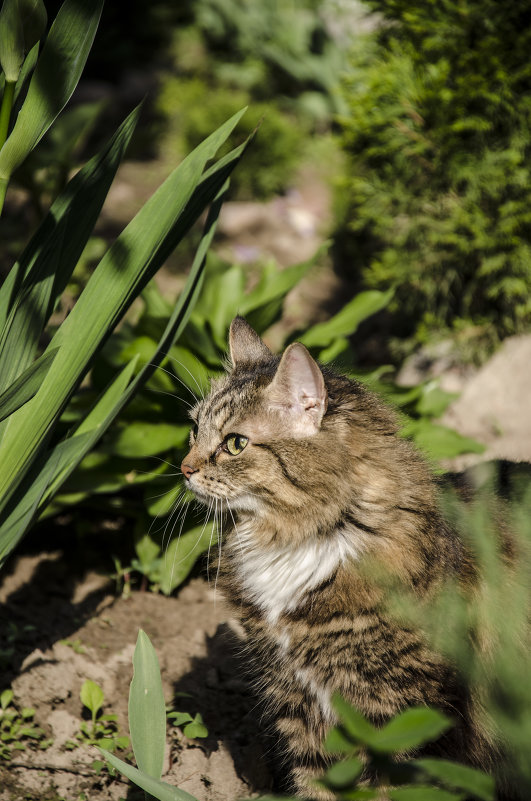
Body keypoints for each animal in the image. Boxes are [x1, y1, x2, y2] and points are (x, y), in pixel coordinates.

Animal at [181, 318, 496, 792]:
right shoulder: (296, 698)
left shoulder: (399, 710)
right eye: (193, 429)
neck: (297, 541)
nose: (184, 469)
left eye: (235, 444)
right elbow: (316, 784)